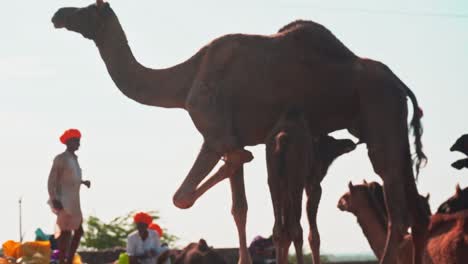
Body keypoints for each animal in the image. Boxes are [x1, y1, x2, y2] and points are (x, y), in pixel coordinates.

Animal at [50, 2, 428, 264]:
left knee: (397, 207)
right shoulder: (230, 135)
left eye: (87, 9)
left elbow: (185, 196)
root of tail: (400, 84)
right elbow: (238, 207)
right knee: (416, 207)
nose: (58, 14)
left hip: (381, 120)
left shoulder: (216, 133)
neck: (185, 80)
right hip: (392, 127)